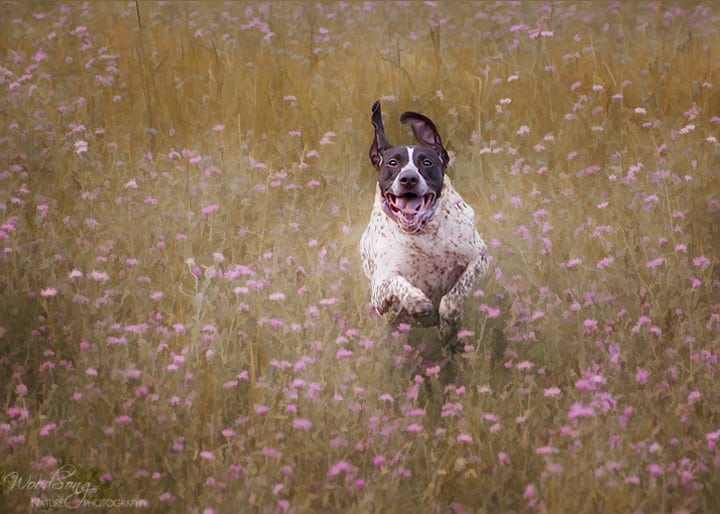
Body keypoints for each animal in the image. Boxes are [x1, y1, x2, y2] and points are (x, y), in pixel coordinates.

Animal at [360, 99, 490, 340]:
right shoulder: (380, 291)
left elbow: (455, 293)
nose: (408, 178)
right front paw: (416, 300)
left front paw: (448, 316)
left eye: (427, 162)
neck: (422, 234)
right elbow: (397, 282)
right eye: (393, 163)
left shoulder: (480, 259)